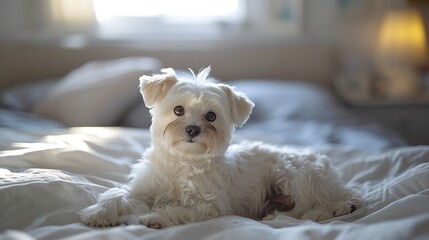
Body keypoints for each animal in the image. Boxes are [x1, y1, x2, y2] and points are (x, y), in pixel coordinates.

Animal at [78, 67, 360, 229]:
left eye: (211, 117)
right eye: (178, 110)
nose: (193, 129)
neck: (183, 161)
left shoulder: (213, 206)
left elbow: (181, 210)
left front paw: (156, 217)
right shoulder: (143, 189)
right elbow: (116, 194)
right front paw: (97, 213)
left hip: (295, 173)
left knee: (323, 205)